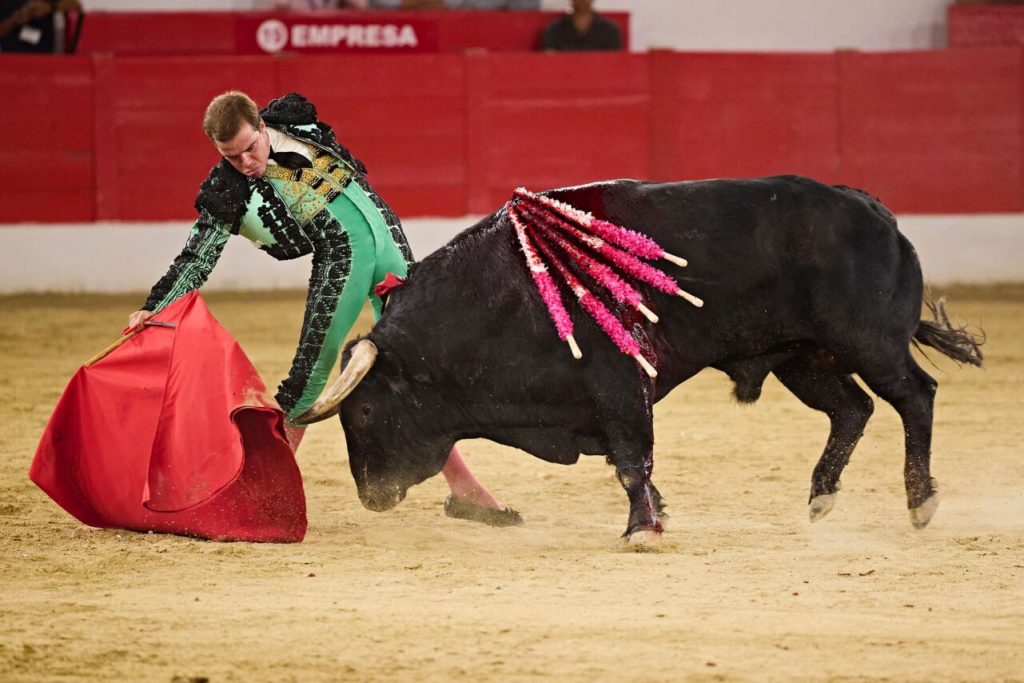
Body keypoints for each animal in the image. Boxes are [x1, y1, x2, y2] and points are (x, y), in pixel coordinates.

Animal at [299, 174, 978, 540]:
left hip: (868, 342)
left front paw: (640, 531)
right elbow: (633, 464)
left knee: (914, 396)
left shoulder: (620, 384)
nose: (369, 495)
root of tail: (871, 207)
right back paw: (821, 498)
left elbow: (632, 460)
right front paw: (657, 516)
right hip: (802, 357)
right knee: (852, 409)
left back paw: (920, 503)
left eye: (362, 415)